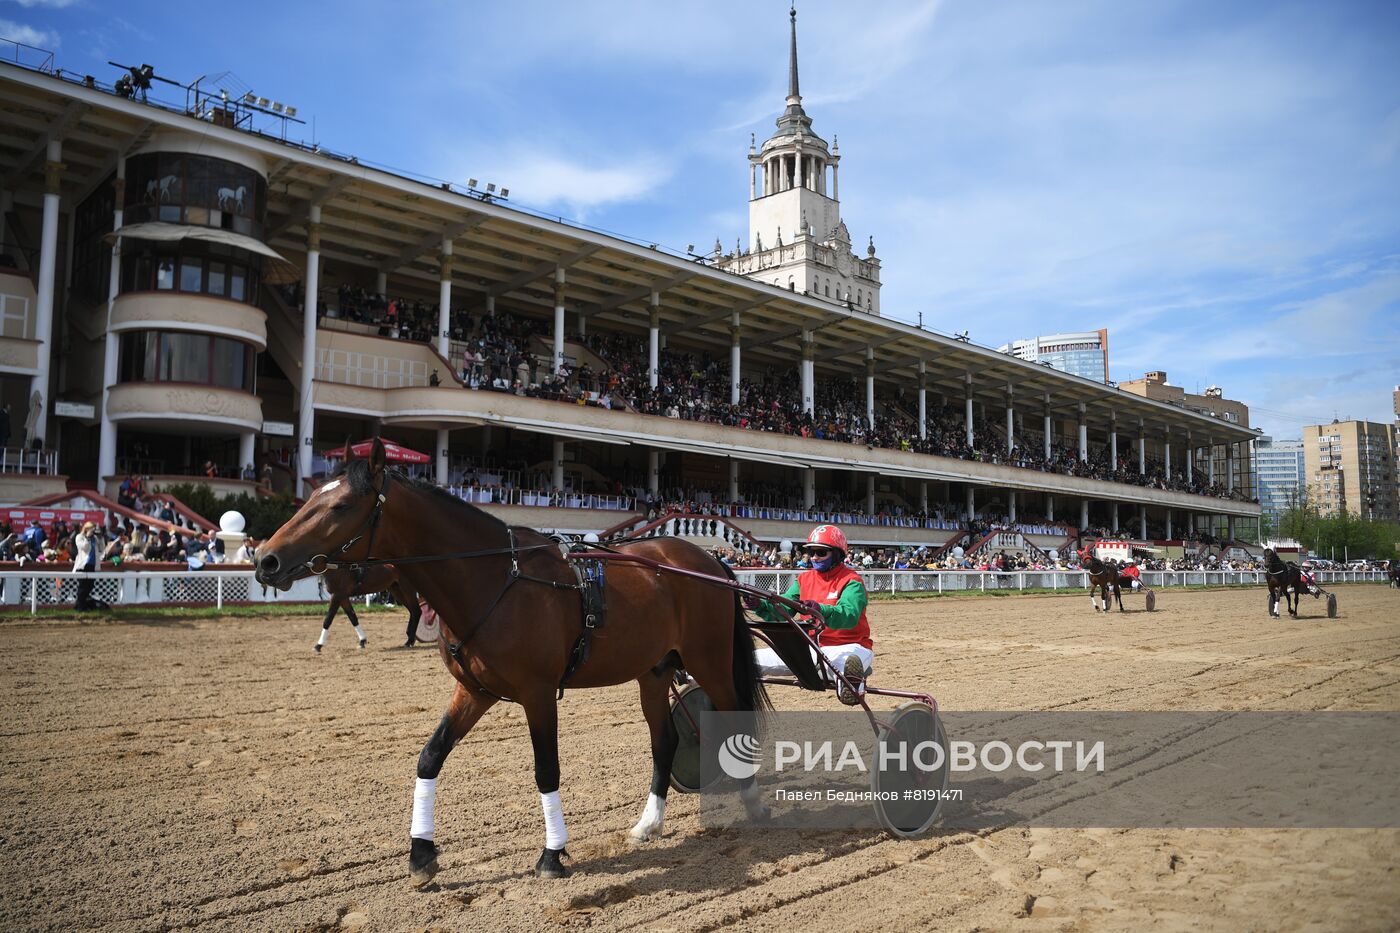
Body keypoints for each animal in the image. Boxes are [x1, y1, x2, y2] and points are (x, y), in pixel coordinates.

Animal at [257, 439, 772, 885]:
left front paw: (552, 854)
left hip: (708, 659)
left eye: (341, 506)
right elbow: (430, 757)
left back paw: (753, 805)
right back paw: (649, 823)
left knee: (732, 718)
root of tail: (708, 561)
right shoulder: (474, 690)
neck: (493, 579)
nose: (266, 559)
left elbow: (547, 769)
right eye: (310, 496)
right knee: (664, 741)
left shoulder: (538, 693)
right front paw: (421, 852)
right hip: (655, 669)